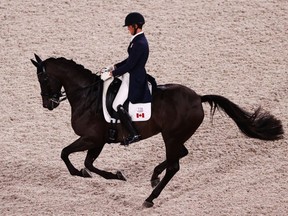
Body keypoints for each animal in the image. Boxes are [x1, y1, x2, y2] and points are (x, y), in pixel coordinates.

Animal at [31, 54, 284, 208]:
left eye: (43, 77)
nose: (48, 104)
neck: (87, 96)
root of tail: (198, 98)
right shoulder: (98, 141)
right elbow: (88, 163)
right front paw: (112, 175)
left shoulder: (92, 138)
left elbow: (66, 154)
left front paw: (84, 173)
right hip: (175, 136)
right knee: (181, 154)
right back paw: (154, 176)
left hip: (170, 136)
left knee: (175, 165)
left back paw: (150, 198)